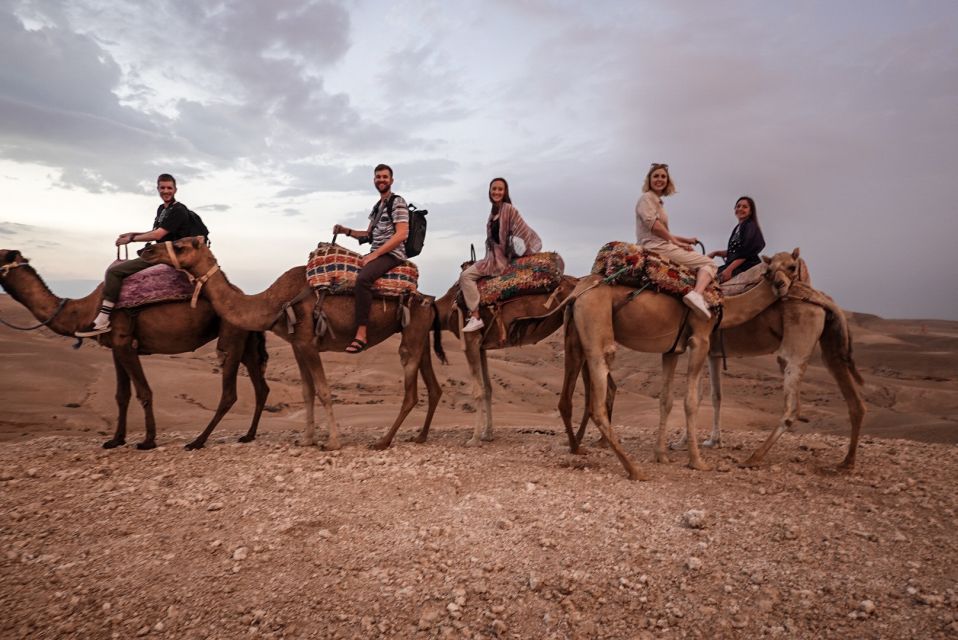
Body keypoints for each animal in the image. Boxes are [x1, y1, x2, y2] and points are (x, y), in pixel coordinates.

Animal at [0, 248, 270, 448]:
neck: (84, 311)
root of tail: (243, 295)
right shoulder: (115, 347)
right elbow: (122, 395)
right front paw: (116, 440)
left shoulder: (124, 342)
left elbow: (143, 392)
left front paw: (148, 441)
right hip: (246, 339)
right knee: (261, 387)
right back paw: (248, 435)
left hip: (231, 335)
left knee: (229, 393)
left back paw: (198, 441)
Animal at [140, 236, 446, 450]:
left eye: (179, 245)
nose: (145, 250)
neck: (272, 303)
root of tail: (428, 300)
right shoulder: (297, 344)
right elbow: (307, 392)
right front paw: (307, 439)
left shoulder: (309, 342)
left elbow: (323, 391)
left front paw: (332, 442)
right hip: (420, 333)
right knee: (434, 387)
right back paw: (420, 437)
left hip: (411, 333)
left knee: (411, 393)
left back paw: (383, 441)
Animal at [434, 272, 580, 448]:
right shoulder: (481, 347)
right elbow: (488, 389)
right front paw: (487, 434)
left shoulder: (470, 341)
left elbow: (478, 391)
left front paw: (474, 439)